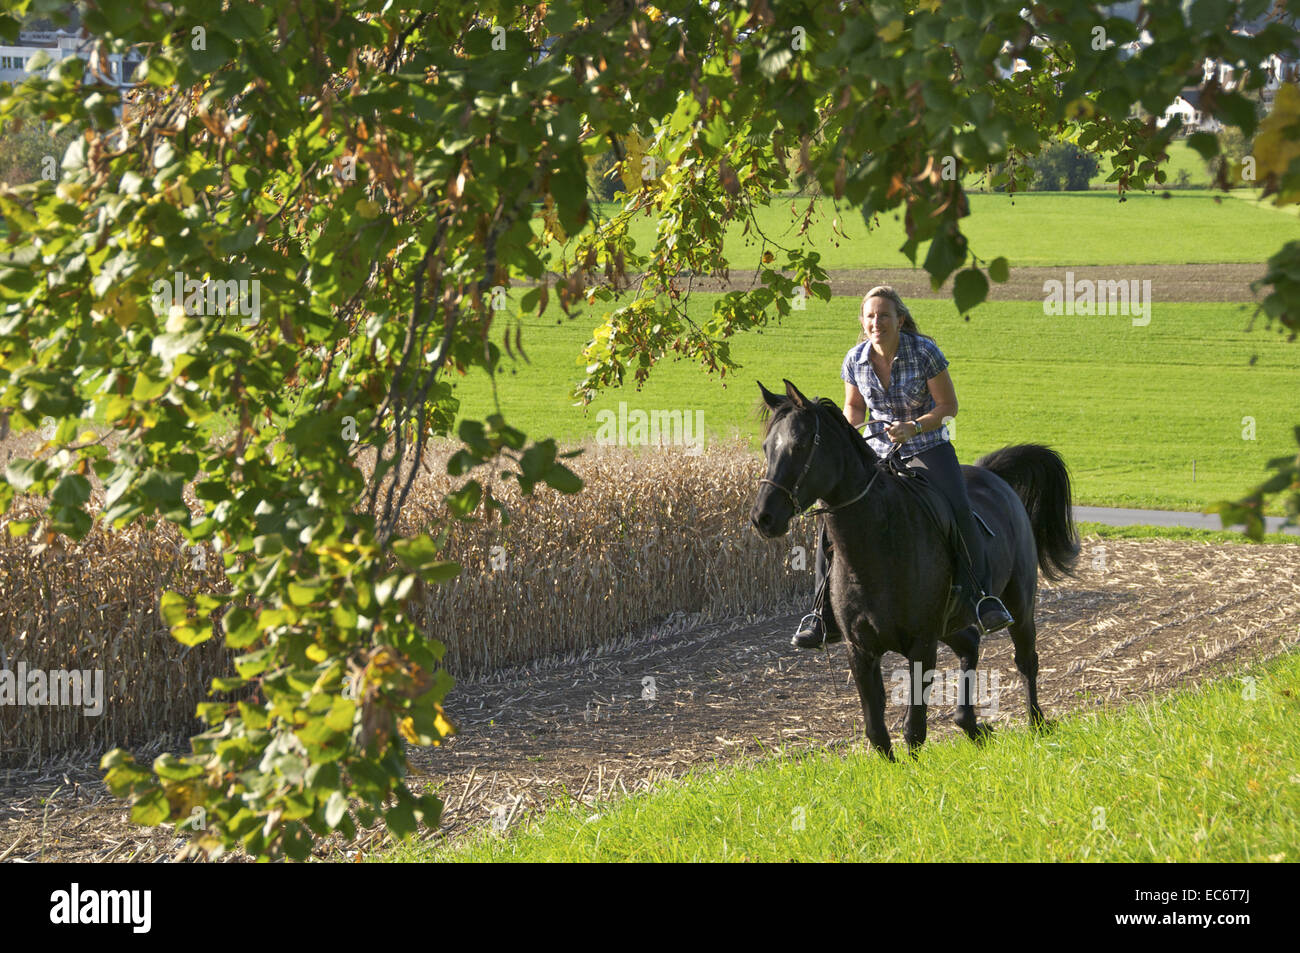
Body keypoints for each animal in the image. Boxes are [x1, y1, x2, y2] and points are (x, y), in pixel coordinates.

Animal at [748, 379, 1081, 759]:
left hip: (1019, 606)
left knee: (1026, 660)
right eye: (766, 447)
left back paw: (1038, 723)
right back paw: (970, 725)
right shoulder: (860, 650)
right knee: (970, 645)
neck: (877, 545)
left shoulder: (921, 644)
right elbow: (876, 730)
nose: (763, 518)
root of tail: (992, 476)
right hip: (951, 624)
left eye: (801, 445)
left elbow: (914, 729)